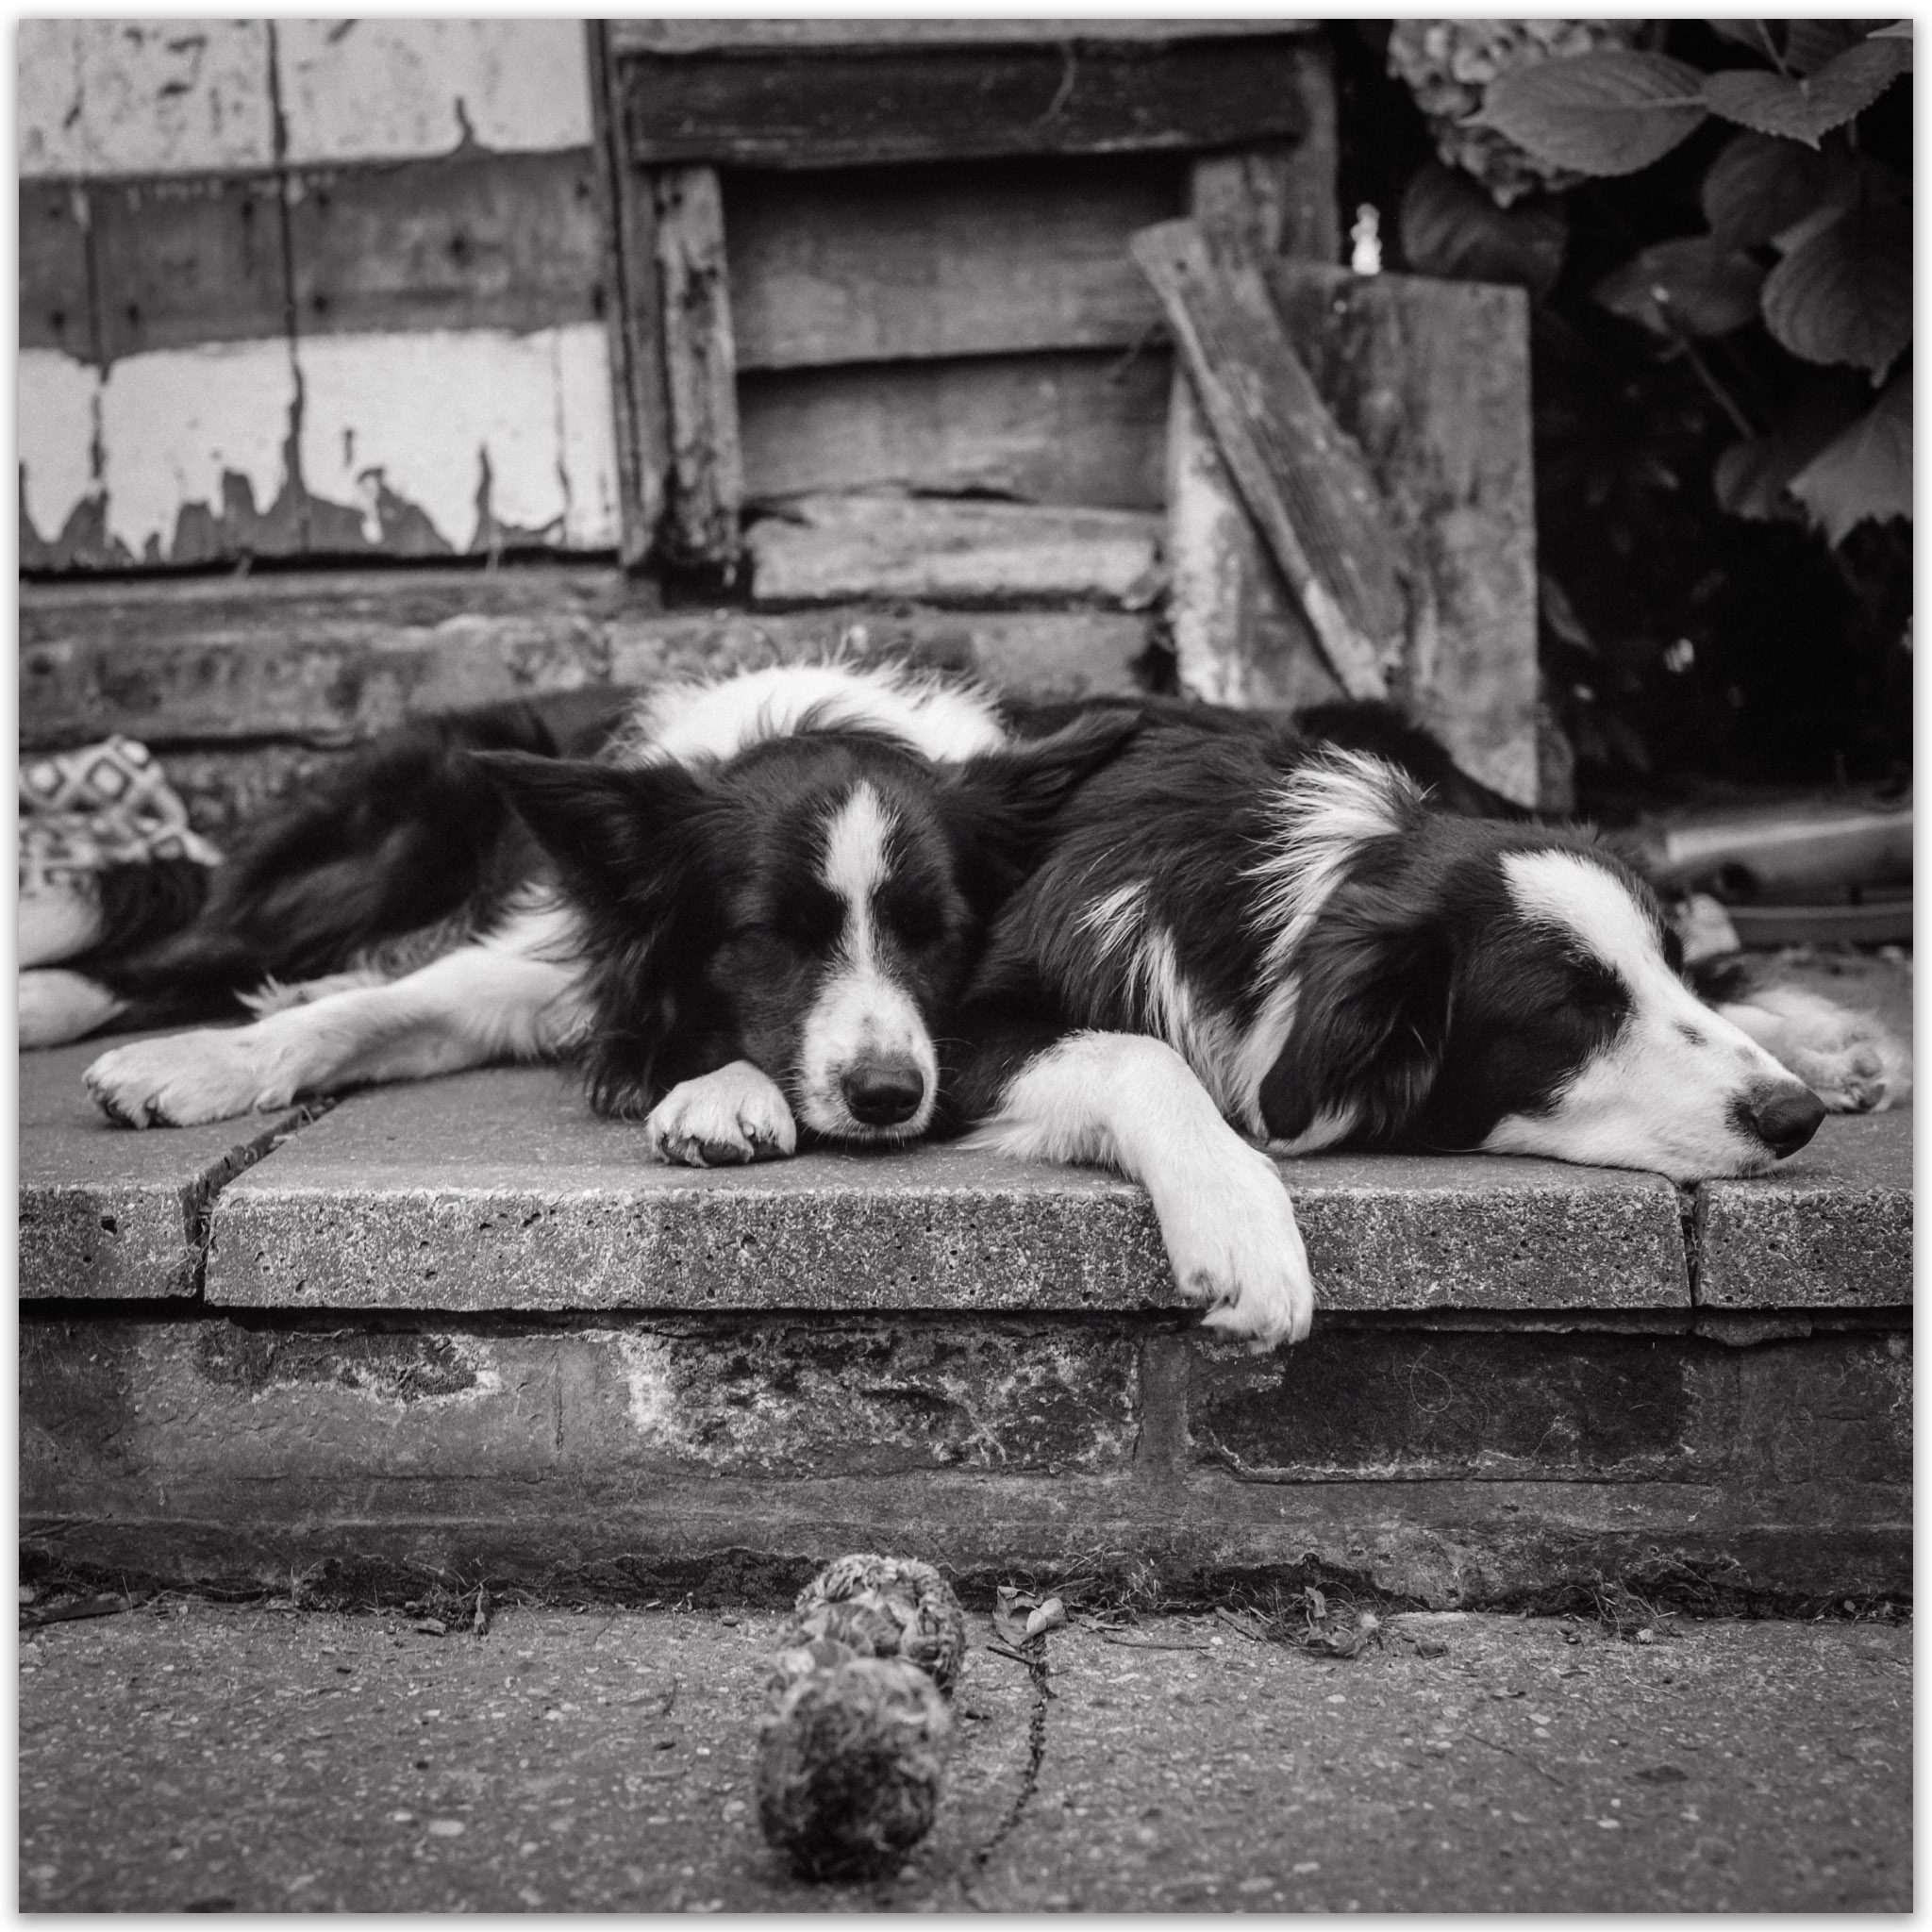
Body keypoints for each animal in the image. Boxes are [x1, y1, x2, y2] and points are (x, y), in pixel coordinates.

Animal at [34, 664, 1885, 1359]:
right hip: (430, 867)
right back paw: (113, 1017)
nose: (1785, 1125)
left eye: (1629, 985)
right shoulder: (990, 1025)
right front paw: (1244, 1230)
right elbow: (1150, 1064)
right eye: (1564, 1011)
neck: (1295, 892)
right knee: (239, 950)